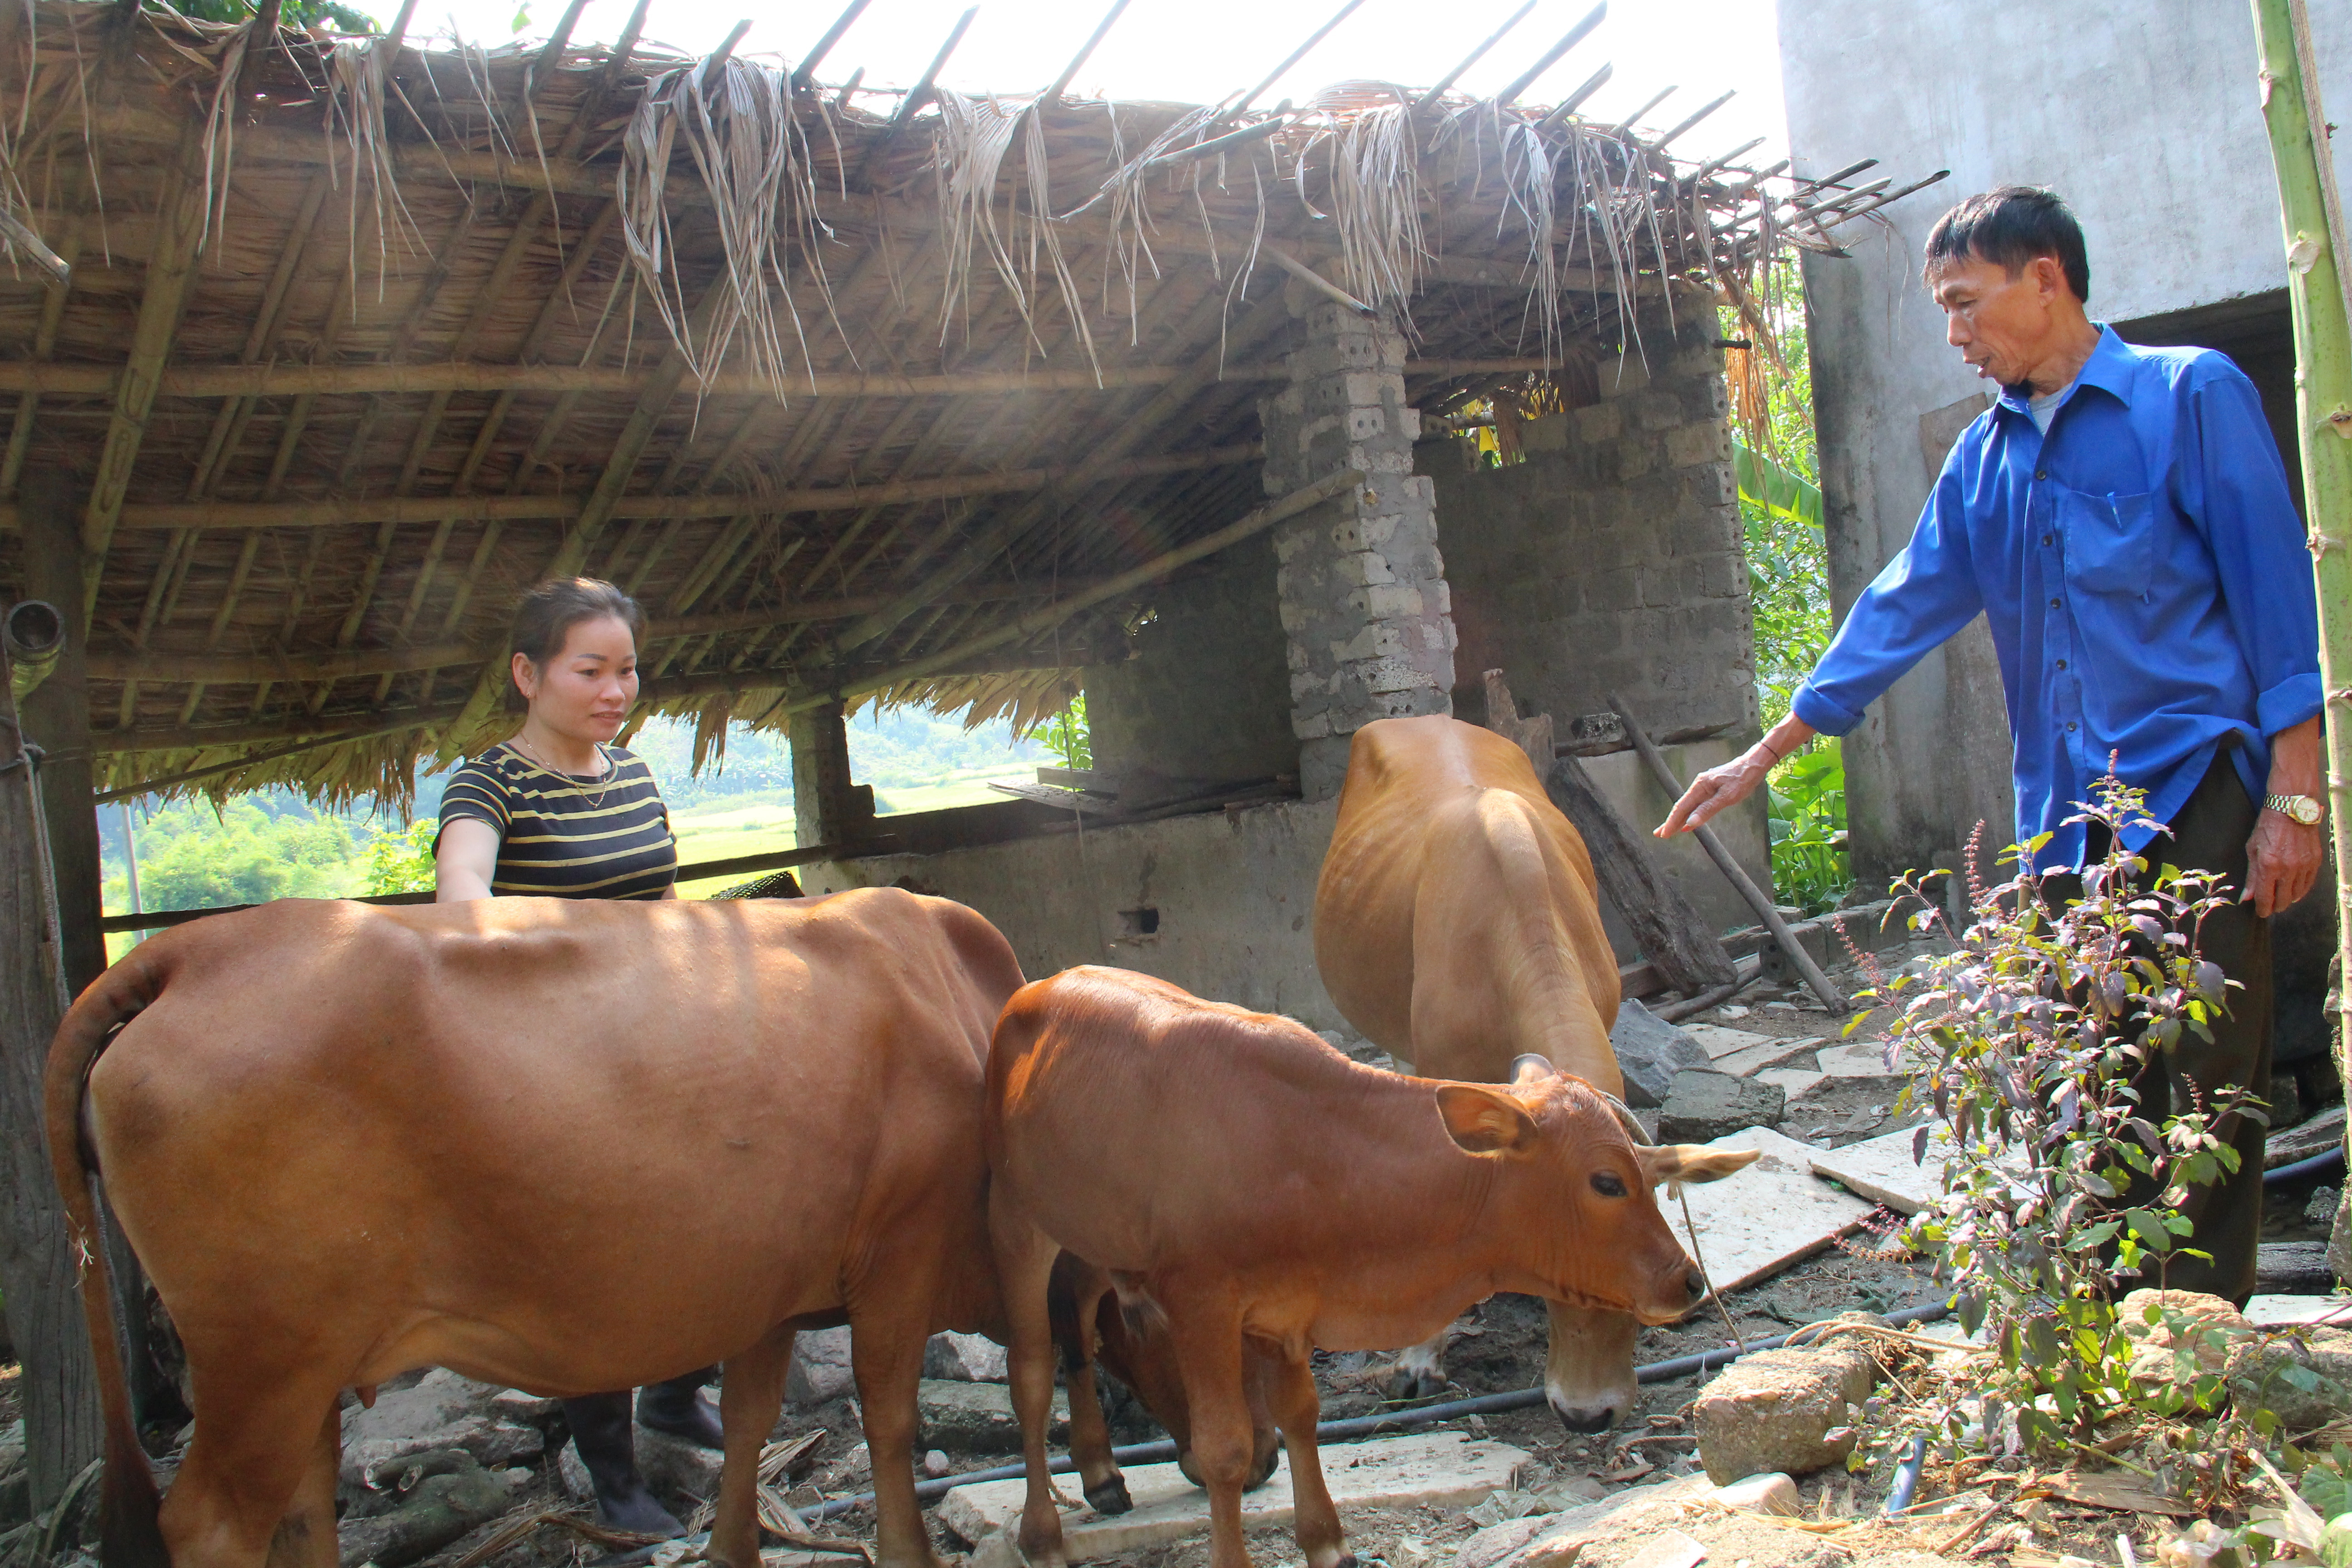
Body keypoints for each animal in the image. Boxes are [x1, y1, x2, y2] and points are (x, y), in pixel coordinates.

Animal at [41, 888, 1251, 1568]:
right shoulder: (897, 1261)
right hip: (263, 1360)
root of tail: (187, 953)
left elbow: (753, 1428)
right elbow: (894, 1420)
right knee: (213, 1529)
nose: (1242, 1454)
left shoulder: (775, 1287)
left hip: (298, 1375)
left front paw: (732, 1547)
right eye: (1159, 1313)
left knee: (302, 1518)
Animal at [978, 968, 1749, 1568]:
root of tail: (1039, 987)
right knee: (1031, 1376)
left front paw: (1327, 1542)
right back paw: (1042, 1534)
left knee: (1079, 1323)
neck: (1318, 1151)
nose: (1687, 1280)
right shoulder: (1201, 1304)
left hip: (1089, 1238)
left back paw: (1102, 1474)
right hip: (1016, 1223)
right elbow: (1225, 1448)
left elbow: (1301, 1417)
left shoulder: (1288, 1313)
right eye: (1608, 1182)